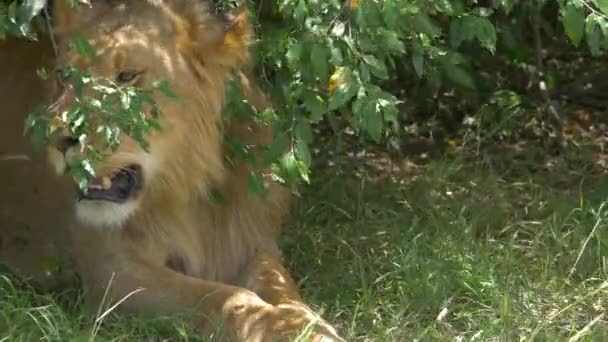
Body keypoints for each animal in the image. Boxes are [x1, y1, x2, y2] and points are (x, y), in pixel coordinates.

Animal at [9, 0, 344, 340]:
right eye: (63, 76)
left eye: (127, 76)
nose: (54, 139)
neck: (189, 193)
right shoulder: (111, 271)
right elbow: (223, 297)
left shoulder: (251, 241)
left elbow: (280, 284)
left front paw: (307, 325)